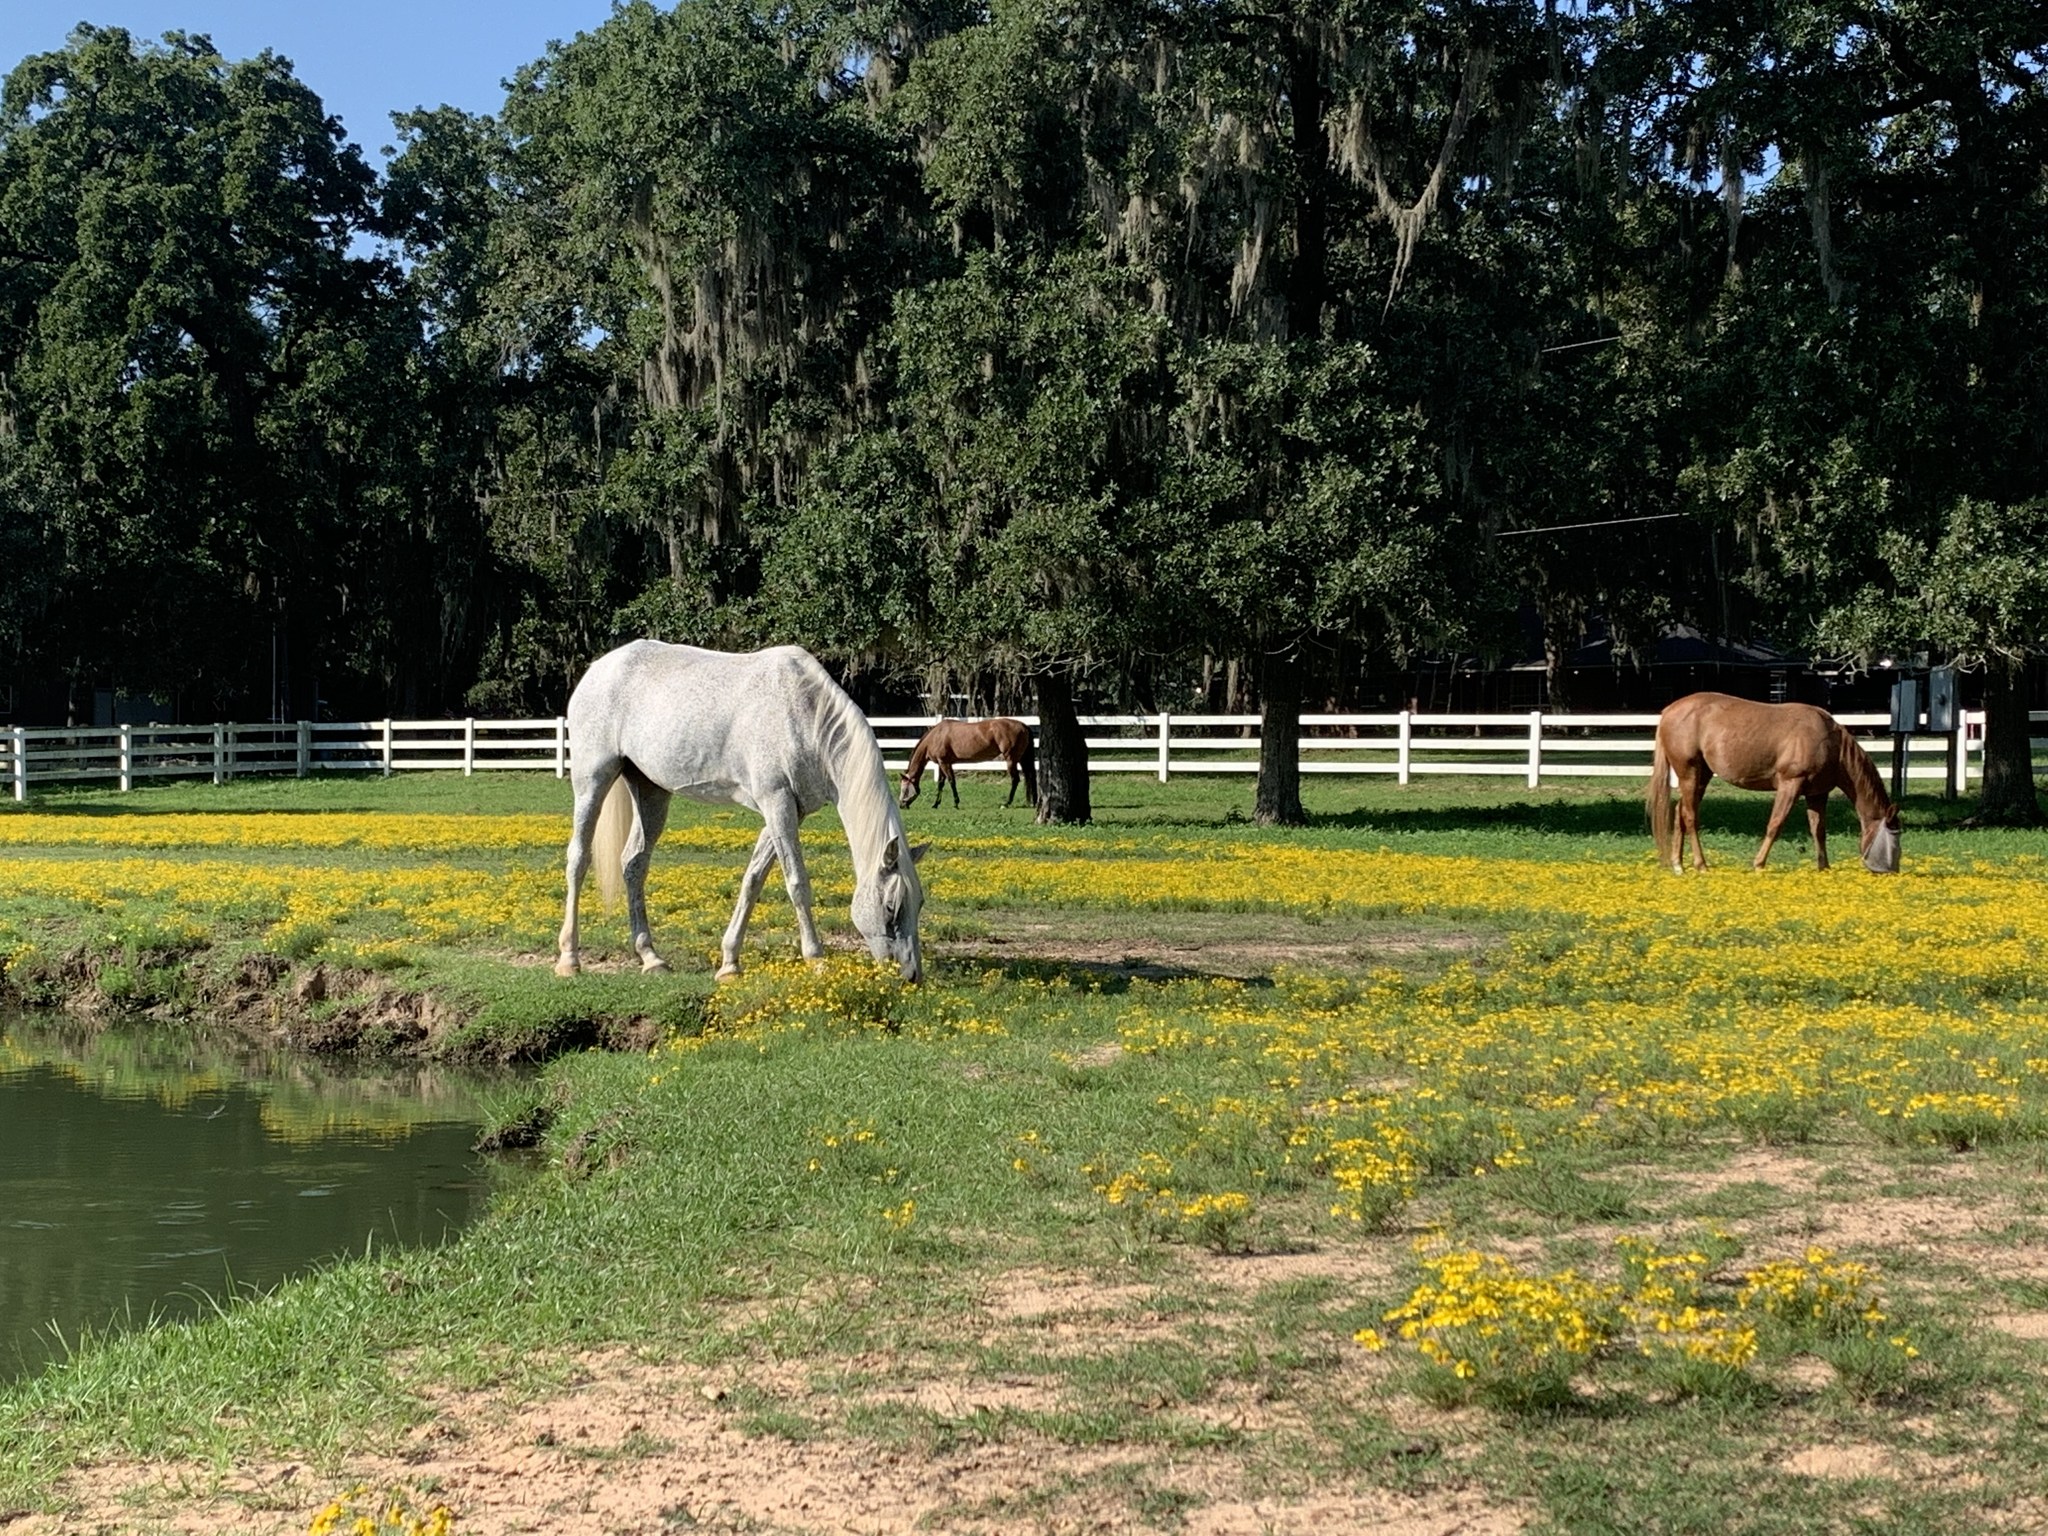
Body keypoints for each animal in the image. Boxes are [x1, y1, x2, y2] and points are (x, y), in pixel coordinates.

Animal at [556, 641, 927, 981]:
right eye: (891, 907)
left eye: (920, 902)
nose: (911, 976)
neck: (806, 717)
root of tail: (597, 669)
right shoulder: (776, 802)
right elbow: (797, 883)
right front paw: (816, 960)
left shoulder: (788, 811)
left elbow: (754, 879)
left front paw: (730, 963)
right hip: (592, 782)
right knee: (578, 859)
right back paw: (569, 959)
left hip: (650, 792)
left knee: (634, 864)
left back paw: (651, 957)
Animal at [898, 717, 1037, 809]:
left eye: (904, 789)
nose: (901, 805)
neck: (935, 736)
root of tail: (1023, 725)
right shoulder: (942, 764)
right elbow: (941, 784)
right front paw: (936, 804)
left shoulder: (944, 763)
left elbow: (951, 781)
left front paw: (956, 803)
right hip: (1022, 759)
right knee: (1030, 776)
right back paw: (1032, 802)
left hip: (1011, 759)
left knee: (1016, 779)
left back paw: (1007, 803)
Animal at [1646, 692, 1900, 874]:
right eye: (1894, 840)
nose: (1893, 871)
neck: (1830, 742)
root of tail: (1669, 711)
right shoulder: (1790, 784)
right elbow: (1775, 825)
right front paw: (1759, 864)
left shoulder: (1817, 794)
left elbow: (1818, 830)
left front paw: (1824, 868)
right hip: (1689, 772)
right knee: (1690, 816)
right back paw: (1701, 865)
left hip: (1702, 775)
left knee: (1680, 812)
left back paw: (1678, 865)